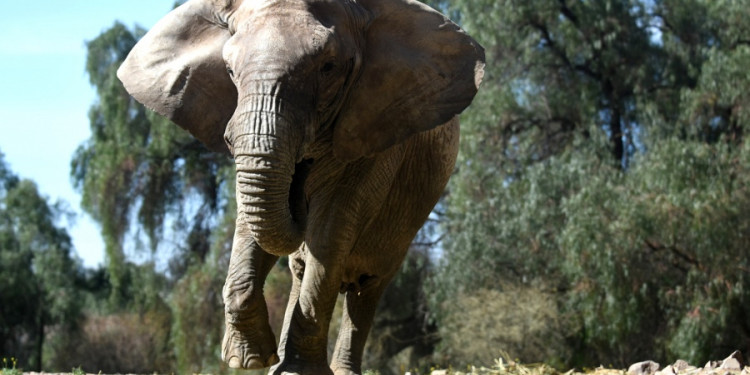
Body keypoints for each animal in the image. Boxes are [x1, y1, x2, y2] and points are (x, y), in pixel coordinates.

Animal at [114, 0, 484, 374]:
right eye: (229, 70)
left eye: (328, 67)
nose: (299, 189)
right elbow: (251, 222)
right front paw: (249, 360)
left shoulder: (374, 135)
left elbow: (329, 231)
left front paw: (296, 370)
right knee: (303, 269)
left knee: (367, 285)